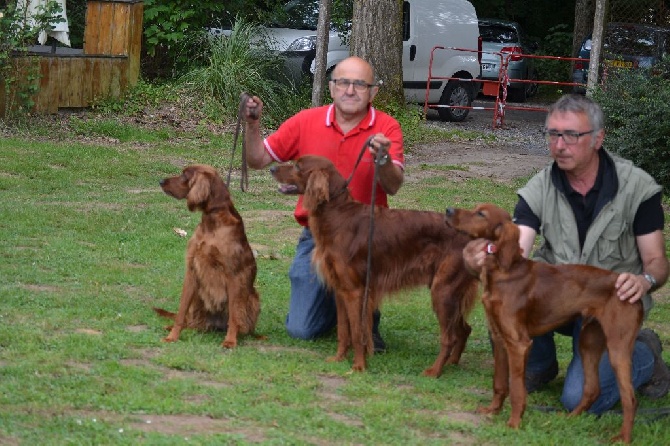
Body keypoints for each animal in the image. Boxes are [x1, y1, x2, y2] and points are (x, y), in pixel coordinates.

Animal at [156, 164, 262, 348]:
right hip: (198, 297)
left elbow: (234, 315)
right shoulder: (192, 270)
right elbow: (181, 312)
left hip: (252, 298)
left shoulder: (233, 276)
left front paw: (230, 341)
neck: (212, 221)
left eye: (184, 175)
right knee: (191, 321)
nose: (161, 181)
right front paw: (172, 336)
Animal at [270, 155, 480, 374]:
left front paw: (358, 366)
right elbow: (344, 331)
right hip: (449, 291)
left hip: (443, 291)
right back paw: (452, 363)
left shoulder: (355, 292)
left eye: (297, 166)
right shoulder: (340, 290)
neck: (337, 213)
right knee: (464, 329)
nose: (272, 168)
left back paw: (434, 371)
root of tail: (470, 236)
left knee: (449, 337)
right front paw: (339, 358)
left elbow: (357, 332)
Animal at [446, 204, 644, 444]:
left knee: (629, 398)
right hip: (588, 342)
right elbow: (499, 383)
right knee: (592, 389)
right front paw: (492, 410)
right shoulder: (500, 338)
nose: (448, 210)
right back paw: (570, 418)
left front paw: (514, 423)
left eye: (481, 214)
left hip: (617, 349)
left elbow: (517, 389)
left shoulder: (519, 344)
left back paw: (623, 437)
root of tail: (636, 295)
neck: (504, 271)